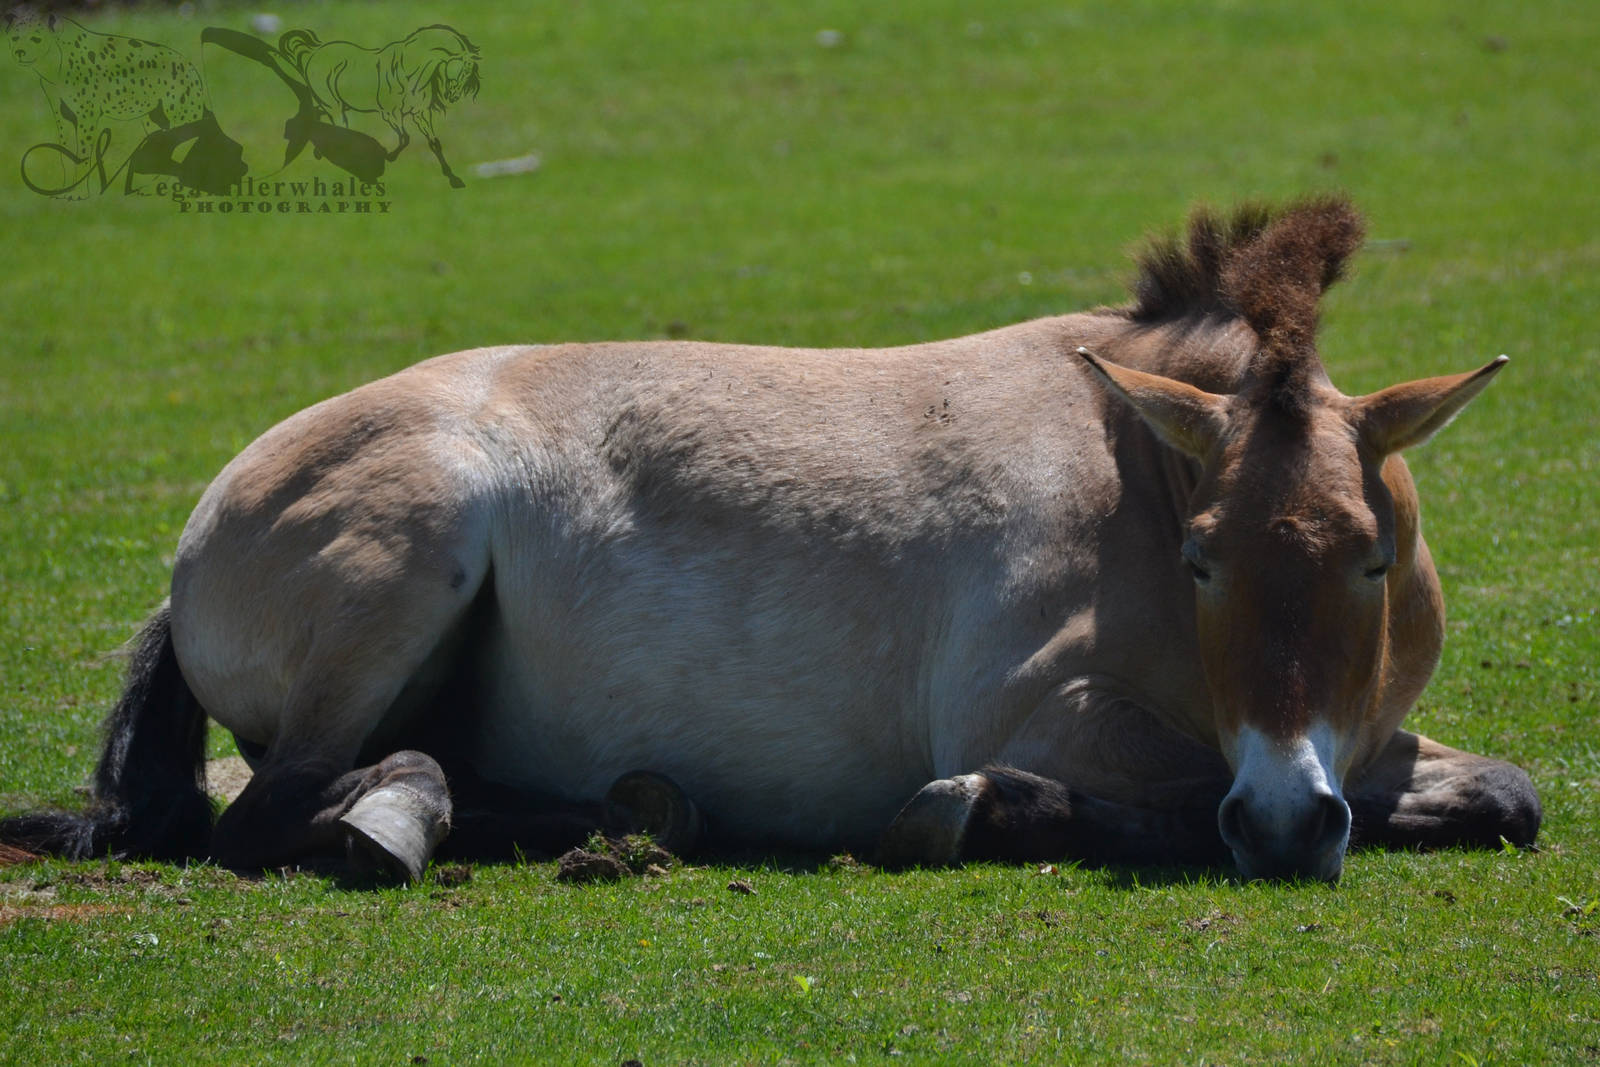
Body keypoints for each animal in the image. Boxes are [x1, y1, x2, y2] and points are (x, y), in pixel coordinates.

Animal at [0, 197, 1539, 883]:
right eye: (1206, 559)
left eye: (1367, 559)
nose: (1283, 827)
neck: (1134, 473)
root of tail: (205, 525)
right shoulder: (1049, 714)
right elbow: (1153, 792)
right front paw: (973, 809)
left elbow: (1507, 788)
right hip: (409, 547)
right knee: (269, 811)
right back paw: (409, 815)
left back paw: (627, 810)